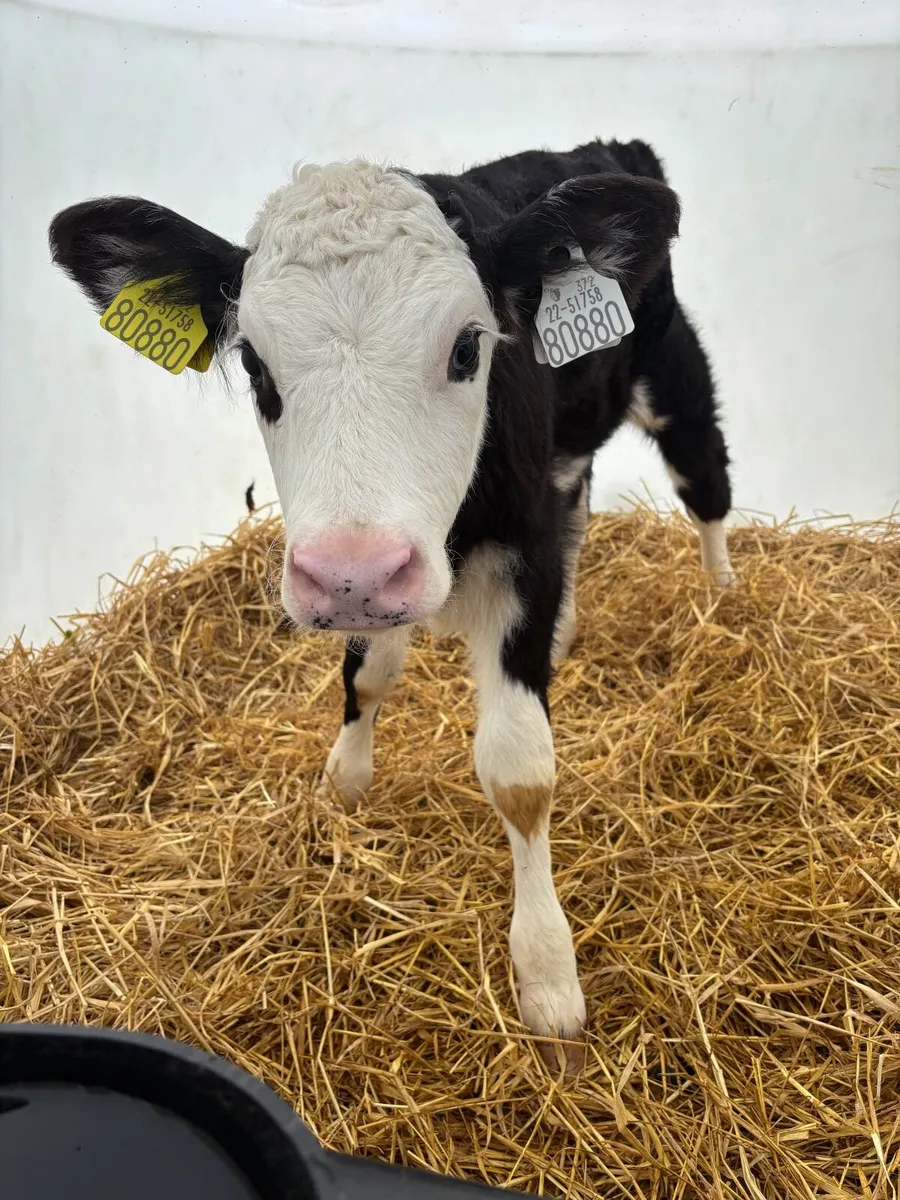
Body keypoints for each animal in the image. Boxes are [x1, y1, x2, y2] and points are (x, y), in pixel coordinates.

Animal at [49, 138, 734, 1074]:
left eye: (468, 348)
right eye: (254, 364)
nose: (352, 574)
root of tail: (601, 150)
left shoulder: (521, 553)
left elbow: (520, 772)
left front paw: (548, 978)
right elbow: (368, 675)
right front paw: (345, 780)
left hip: (672, 372)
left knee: (706, 484)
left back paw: (722, 599)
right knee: (583, 503)